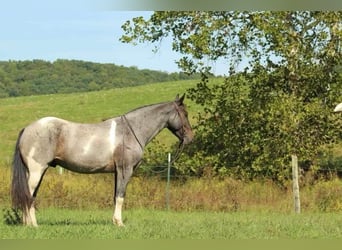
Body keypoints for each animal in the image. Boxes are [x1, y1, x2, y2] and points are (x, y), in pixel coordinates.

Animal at [10, 94, 194, 227]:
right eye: (184, 114)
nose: (190, 138)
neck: (129, 131)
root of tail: (28, 128)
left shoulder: (117, 172)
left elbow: (115, 196)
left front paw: (114, 221)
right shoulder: (125, 170)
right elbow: (120, 196)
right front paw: (119, 223)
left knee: (31, 195)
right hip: (36, 171)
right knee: (28, 194)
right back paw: (32, 225)